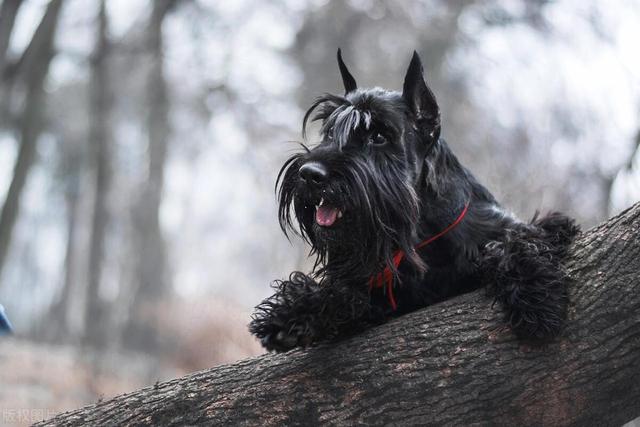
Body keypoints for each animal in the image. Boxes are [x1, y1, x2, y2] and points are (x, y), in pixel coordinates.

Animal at [250, 49, 580, 354]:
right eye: (330, 132)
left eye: (378, 136)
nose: (309, 174)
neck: (420, 236)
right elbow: (348, 296)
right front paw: (293, 312)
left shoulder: (540, 226)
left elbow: (514, 242)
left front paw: (535, 298)